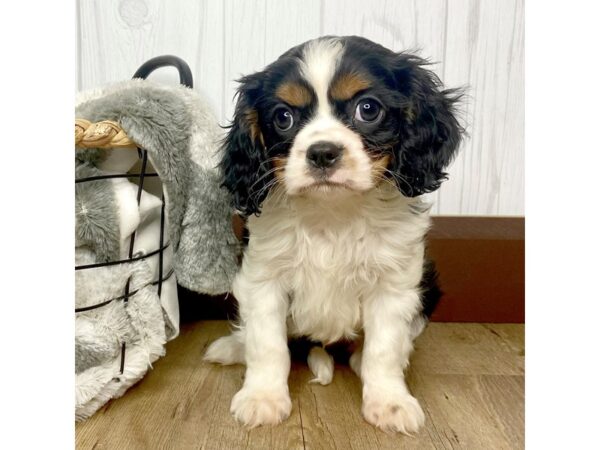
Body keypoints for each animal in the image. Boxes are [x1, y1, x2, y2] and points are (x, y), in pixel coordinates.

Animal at [206, 35, 464, 432]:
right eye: (283, 117)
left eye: (368, 109)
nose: (322, 152)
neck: (333, 212)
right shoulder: (263, 279)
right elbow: (267, 344)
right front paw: (263, 396)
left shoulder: (394, 285)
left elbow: (384, 348)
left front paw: (389, 401)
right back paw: (233, 346)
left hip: (428, 286)